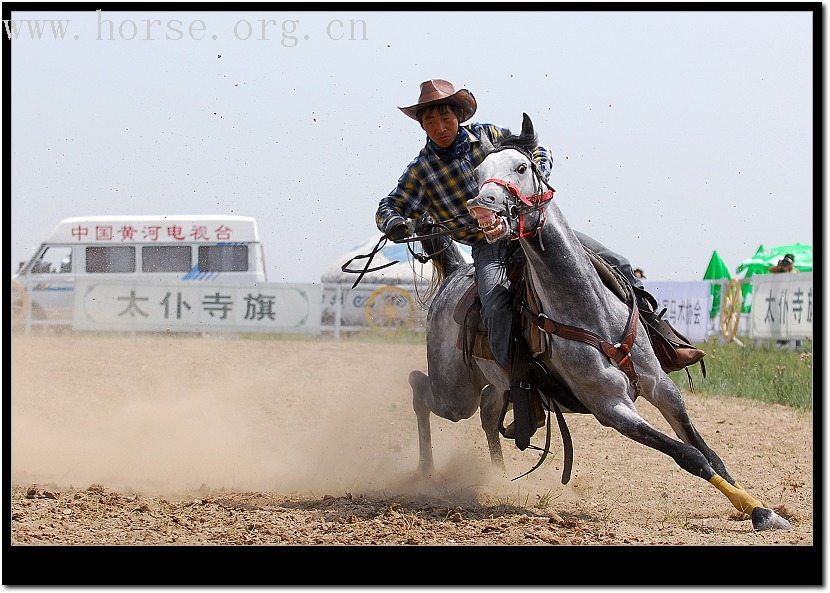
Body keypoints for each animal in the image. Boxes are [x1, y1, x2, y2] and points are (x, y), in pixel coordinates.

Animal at [410, 113, 792, 528]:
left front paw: (758, 507)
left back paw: (497, 477)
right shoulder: (611, 408)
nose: (482, 206)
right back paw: (428, 471)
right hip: (453, 391)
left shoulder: (661, 386)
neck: (590, 311)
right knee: (422, 390)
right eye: (478, 174)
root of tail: (454, 272)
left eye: (522, 167)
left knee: (487, 410)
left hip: (493, 385)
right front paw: (758, 511)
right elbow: (688, 455)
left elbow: (707, 450)